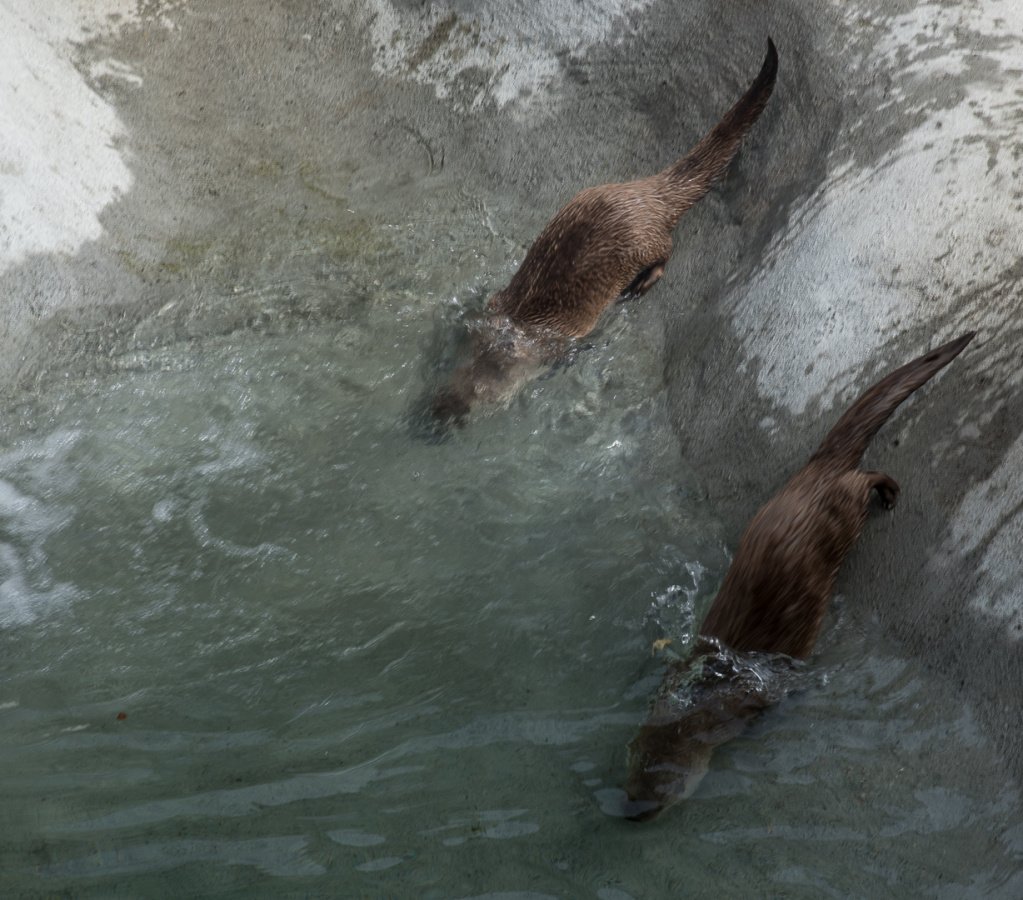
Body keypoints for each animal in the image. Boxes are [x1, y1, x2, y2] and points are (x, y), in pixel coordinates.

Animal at [430, 39, 778, 426]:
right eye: (442, 389)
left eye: (470, 406)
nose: (436, 416)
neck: (525, 331)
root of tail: (648, 195)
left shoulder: (560, 342)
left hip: (645, 242)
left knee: (667, 249)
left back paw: (641, 285)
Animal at [622, 332, 976, 821]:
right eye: (629, 775)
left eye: (662, 795)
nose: (632, 813)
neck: (707, 699)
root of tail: (815, 472)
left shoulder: (752, 699)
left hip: (845, 511)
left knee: (864, 477)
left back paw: (890, 493)